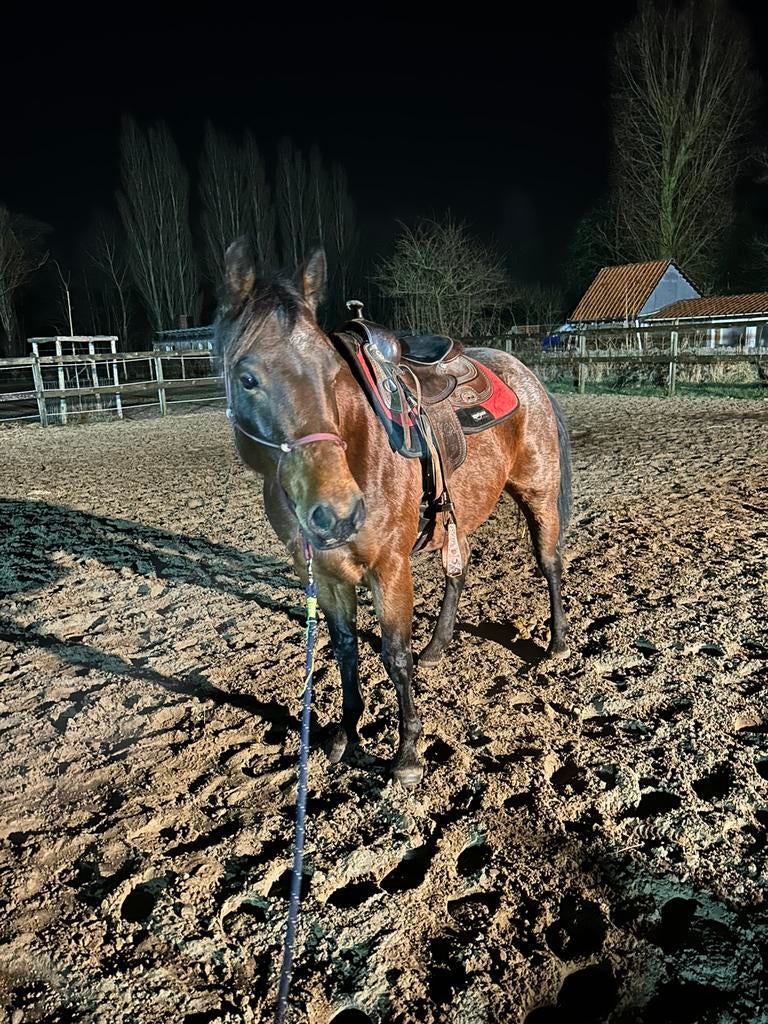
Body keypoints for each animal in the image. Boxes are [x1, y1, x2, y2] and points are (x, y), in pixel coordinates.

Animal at [216, 242, 572, 787]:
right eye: (247, 378)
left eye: (332, 374)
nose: (338, 512)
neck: (357, 444)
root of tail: (525, 373)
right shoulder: (324, 574)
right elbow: (344, 649)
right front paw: (346, 733)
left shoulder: (390, 568)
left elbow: (393, 655)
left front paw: (407, 753)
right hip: (459, 512)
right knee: (458, 569)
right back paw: (439, 646)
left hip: (538, 492)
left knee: (548, 562)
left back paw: (556, 643)